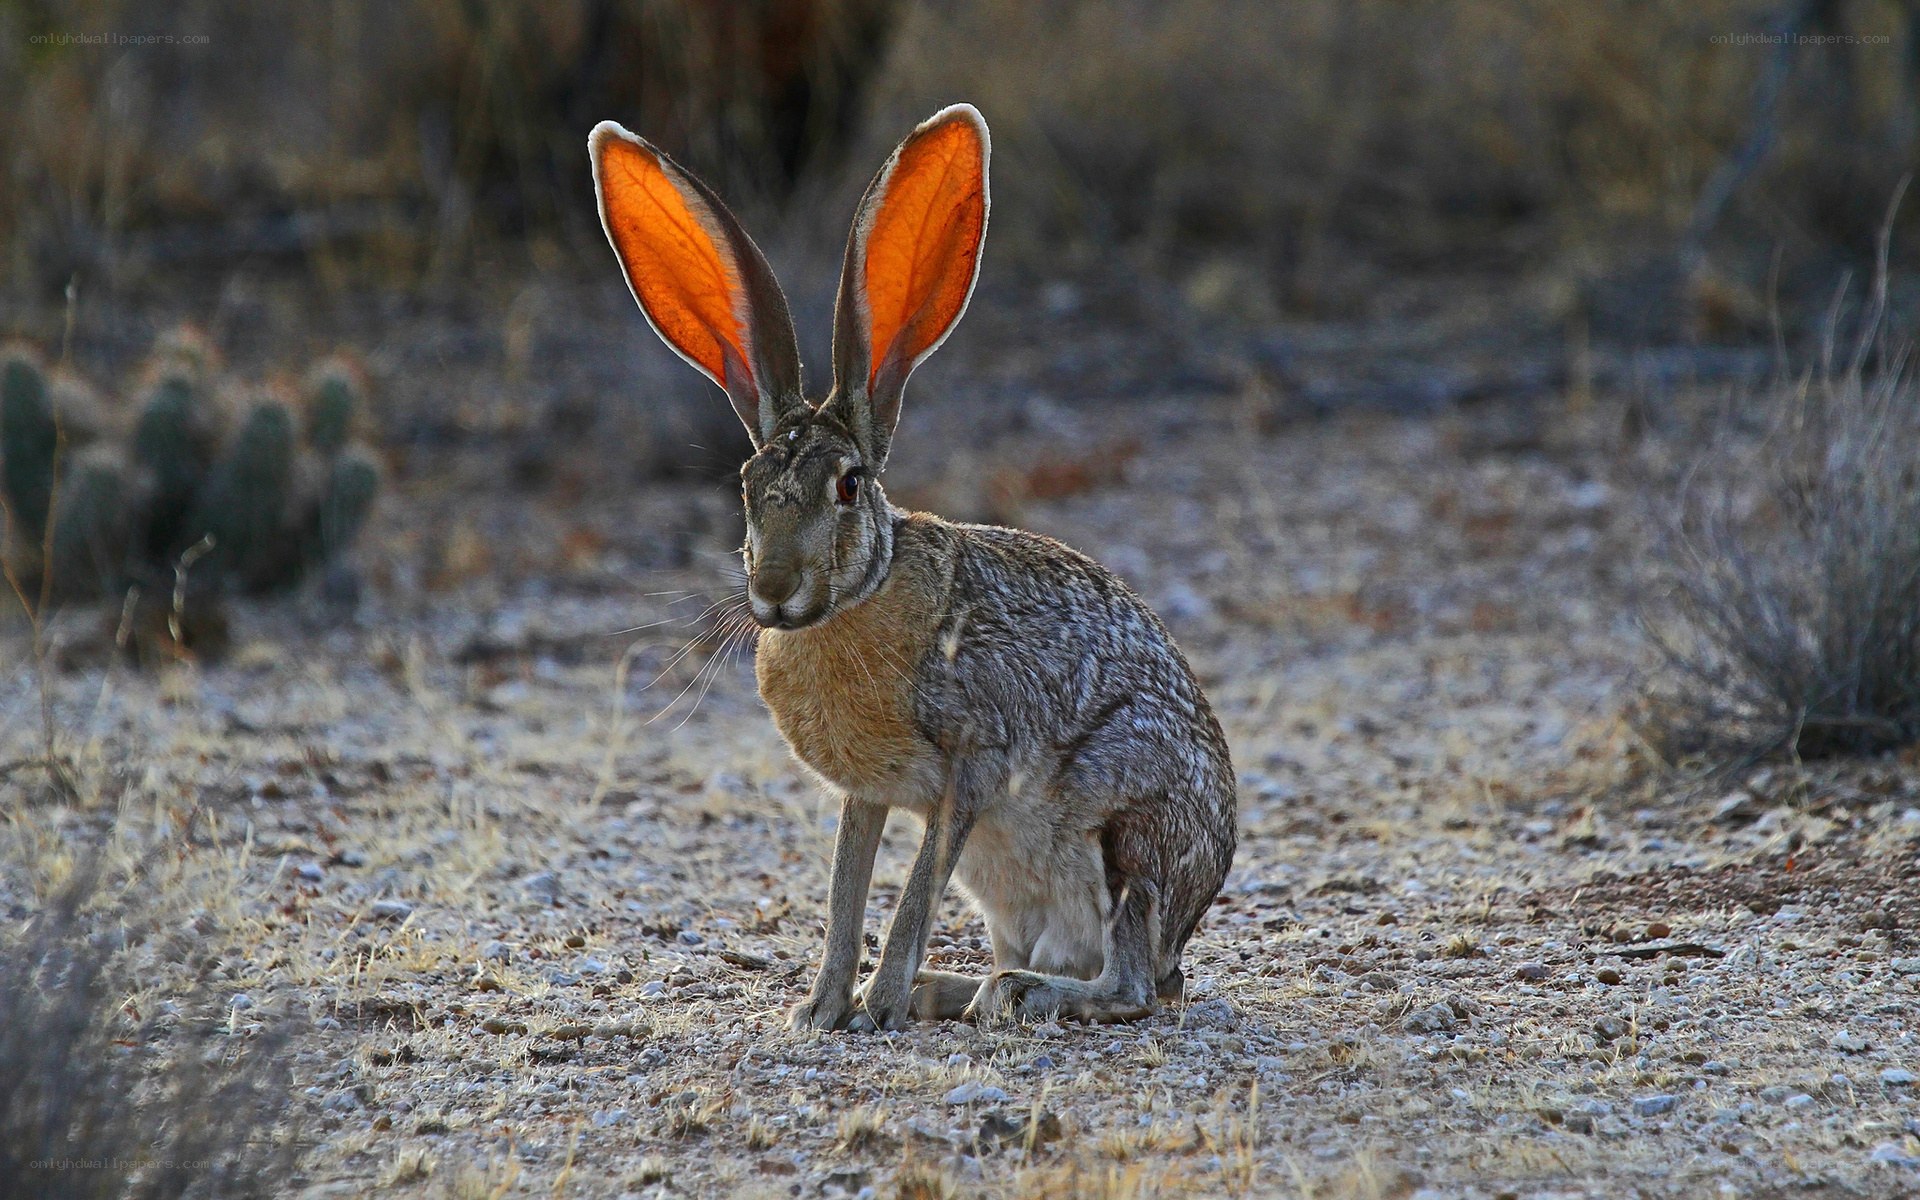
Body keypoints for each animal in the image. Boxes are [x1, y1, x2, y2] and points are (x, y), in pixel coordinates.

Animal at [589, 104, 1236, 1030]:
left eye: (850, 485)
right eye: (745, 486)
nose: (773, 591)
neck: (858, 599)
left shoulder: (975, 762)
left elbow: (910, 894)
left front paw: (880, 1001)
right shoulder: (865, 793)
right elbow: (845, 890)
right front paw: (823, 1007)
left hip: (1130, 831)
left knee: (1134, 984)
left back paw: (1016, 993)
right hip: (1012, 889)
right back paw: (956, 990)